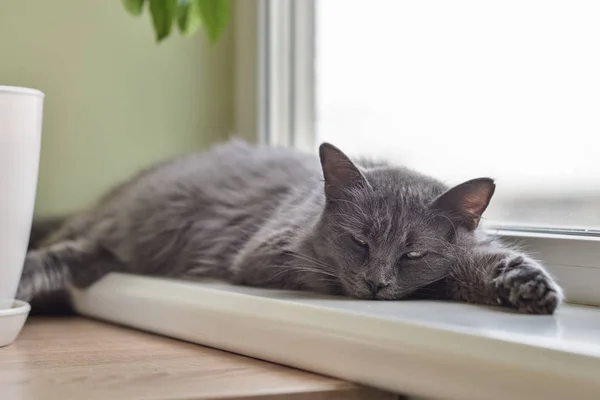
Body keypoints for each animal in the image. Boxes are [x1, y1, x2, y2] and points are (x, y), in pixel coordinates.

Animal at [17, 139, 564, 314]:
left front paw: (527, 285)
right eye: (359, 242)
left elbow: (483, 261)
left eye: (412, 253)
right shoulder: (269, 253)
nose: (376, 283)